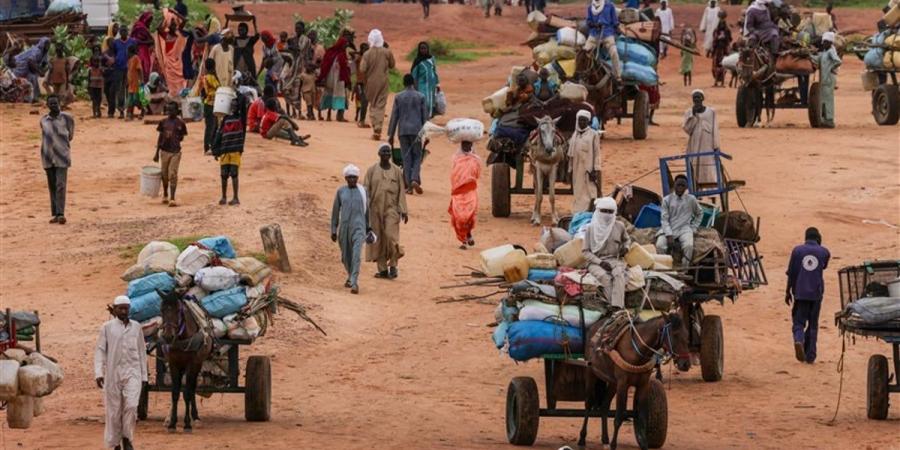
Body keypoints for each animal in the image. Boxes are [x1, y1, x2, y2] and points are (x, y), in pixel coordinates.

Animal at [157, 288, 214, 432]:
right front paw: (172, 423)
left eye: (178, 310)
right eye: (161, 309)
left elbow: (187, 392)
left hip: (197, 364)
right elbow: (175, 393)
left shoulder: (191, 364)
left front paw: (187, 424)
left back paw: (196, 417)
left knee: (192, 388)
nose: (168, 336)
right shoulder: (173, 364)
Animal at [580, 312, 692, 450]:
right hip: (591, 373)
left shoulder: (643, 385)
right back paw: (582, 438)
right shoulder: (623, 384)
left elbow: (642, 417)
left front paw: (644, 444)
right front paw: (613, 445)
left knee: (605, 406)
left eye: (687, 334)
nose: (685, 364)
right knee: (588, 404)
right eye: (675, 335)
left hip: (613, 382)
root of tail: (593, 327)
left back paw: (605, 439)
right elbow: (619, 417)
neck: (637, 349)